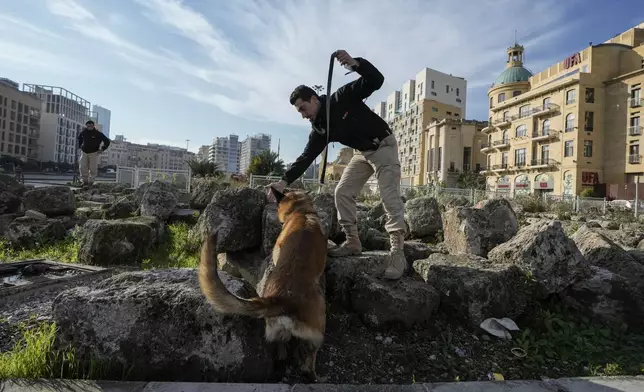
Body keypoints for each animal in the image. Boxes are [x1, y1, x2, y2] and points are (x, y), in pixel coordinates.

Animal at [197, 188, 330, 382]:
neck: (301, 213)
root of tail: (282, 300)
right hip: (318, 330)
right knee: (308, 362)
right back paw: (314, 375)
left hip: (277, 331)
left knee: (281, 351)